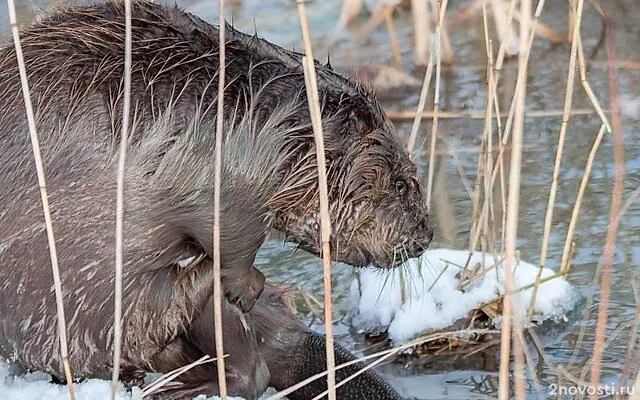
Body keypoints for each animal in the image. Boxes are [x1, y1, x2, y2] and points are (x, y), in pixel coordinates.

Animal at [0, 1, 432, 398]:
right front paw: (246, 286)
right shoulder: (224, 181)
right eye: (401, 184)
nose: (424, 238)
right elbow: (231, 232)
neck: (269, 121)